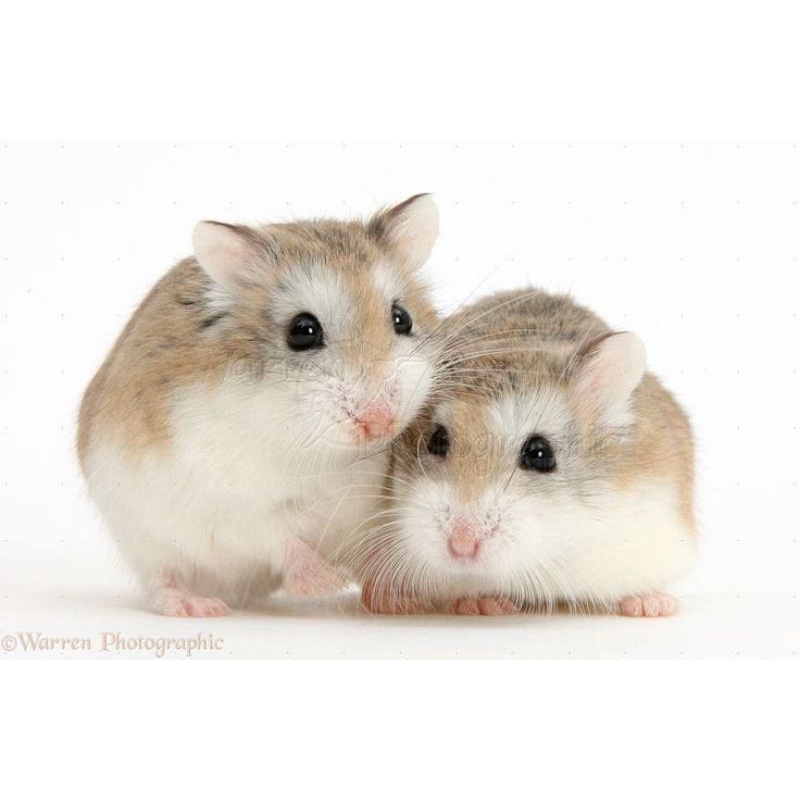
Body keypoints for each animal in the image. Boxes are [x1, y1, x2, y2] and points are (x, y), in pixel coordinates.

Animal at [77, 195, 441, 616]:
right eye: (303, 331)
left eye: (402, 318)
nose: (381, 422)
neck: (329, 455)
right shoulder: (235, 506)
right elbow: (280, 540)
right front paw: (328, 581)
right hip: (142, 536)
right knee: (161, 581)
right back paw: (201, 606)